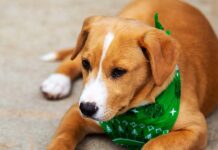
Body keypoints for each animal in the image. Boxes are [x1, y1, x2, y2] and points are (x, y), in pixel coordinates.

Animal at [40, 0, 217, 149]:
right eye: (86, 64)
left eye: (119, 71)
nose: (87, 108)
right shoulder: (75, 113)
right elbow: (62, 137)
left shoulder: (196, 128)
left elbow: (155, 143)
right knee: (71, 58)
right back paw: (57, 82)